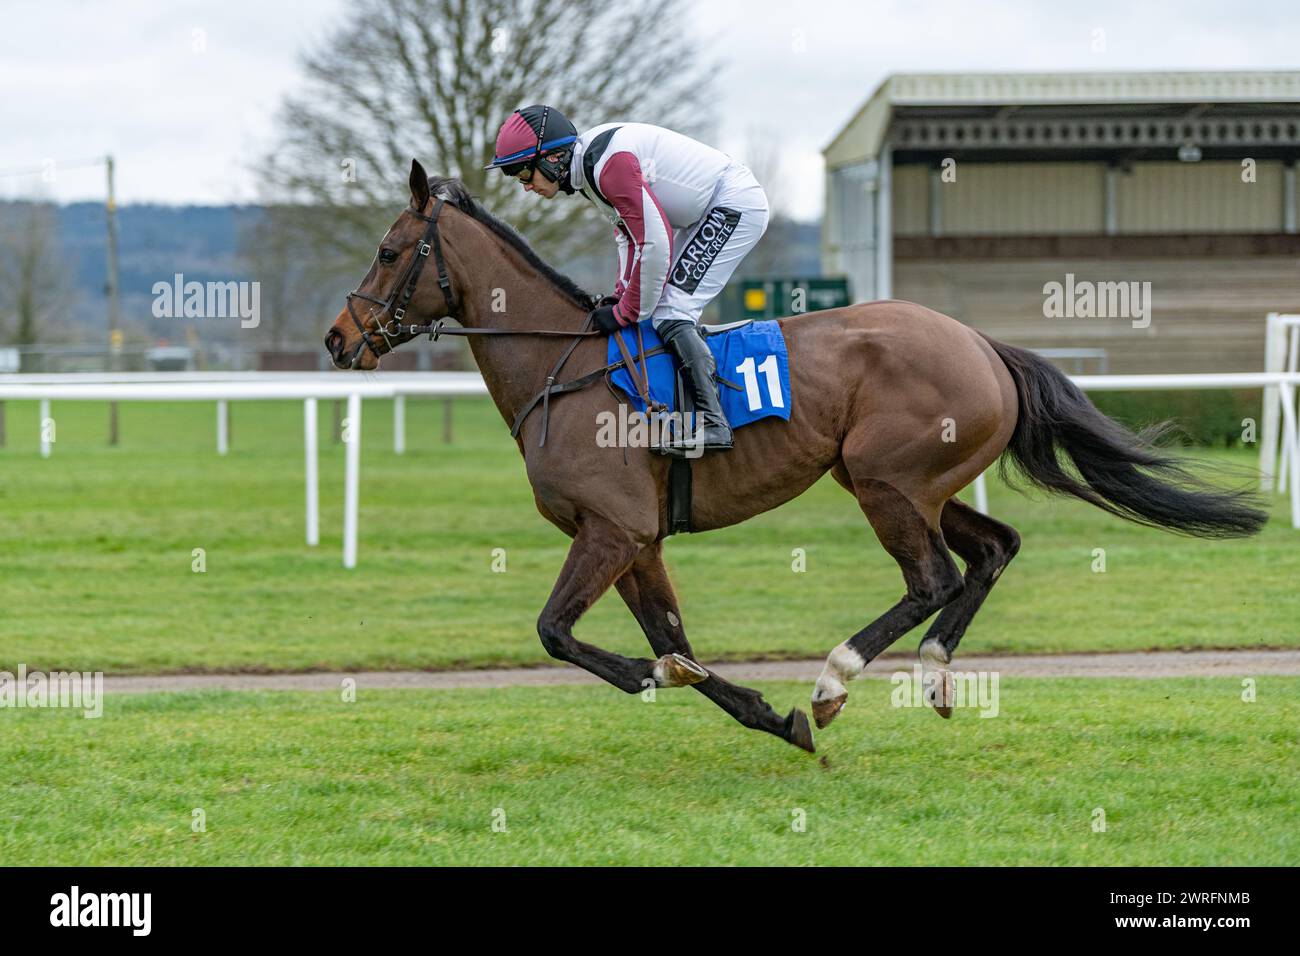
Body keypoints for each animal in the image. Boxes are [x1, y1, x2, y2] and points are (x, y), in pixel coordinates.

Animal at [319, 162, 1263, 754]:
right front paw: (763, 714)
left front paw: (672, 679)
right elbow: (677, 640)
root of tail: (982, 344)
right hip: (906, 480)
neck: (565, 368)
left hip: (887, 480)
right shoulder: (638, 540)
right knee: (994, 548)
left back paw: (835, 679)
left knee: (934, 578)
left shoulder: (611, 529)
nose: (337, 338)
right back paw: (932, 674)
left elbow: (561, 634)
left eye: (390, 251)